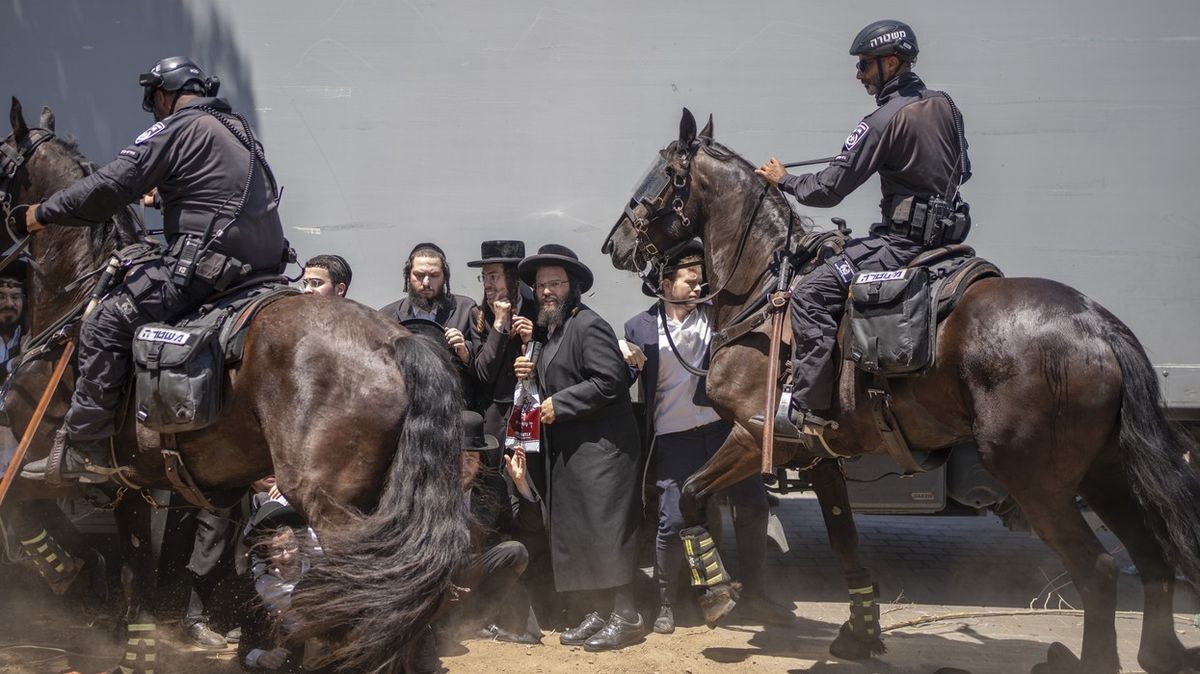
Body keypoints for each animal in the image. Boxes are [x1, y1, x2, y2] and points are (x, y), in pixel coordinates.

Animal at [0, 98, 468, 671]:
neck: (75, 299)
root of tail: (393, 341)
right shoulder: (129, 482)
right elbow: (134, 568)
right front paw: (128, 638)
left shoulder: (36, 453)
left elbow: (20, 509)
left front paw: (66, 568)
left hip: (331, 501)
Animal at [604, 109, 1200, 671]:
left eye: (665, 175)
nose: (616, 243)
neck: (767, 288)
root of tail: (1095, 323)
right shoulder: (821, 455)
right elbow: (845, 543)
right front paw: (860, 632)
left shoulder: (755, 436)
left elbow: (691, 494)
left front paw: (715, 592)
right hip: (1105, 471)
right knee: (1154, 556)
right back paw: (1161, 653)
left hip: (1037, 480)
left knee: (1099, 570)